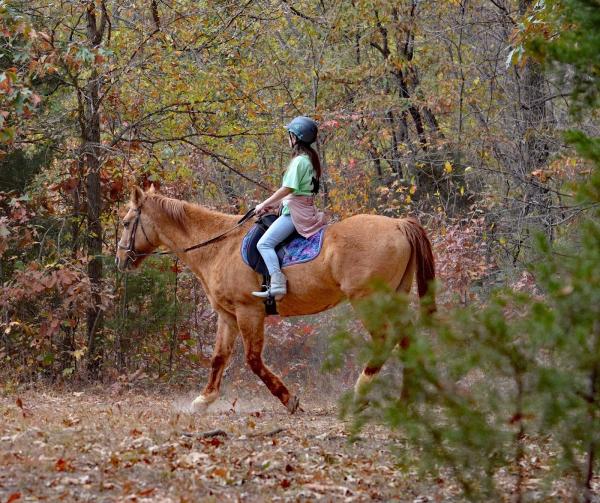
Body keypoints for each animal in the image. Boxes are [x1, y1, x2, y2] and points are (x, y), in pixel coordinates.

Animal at [115, 187, 434, 416]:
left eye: (127, 222)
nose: (120, 260)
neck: (220, 247)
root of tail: (399, 225)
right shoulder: (227, 315)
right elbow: (219, 357)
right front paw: (204, 399)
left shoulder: (249, 311)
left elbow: (253, 360)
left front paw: (289, 399)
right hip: (394, 297)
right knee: (406, 338)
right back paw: (404, 400)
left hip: (368, 300)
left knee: (385, 339)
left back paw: (359, 395)